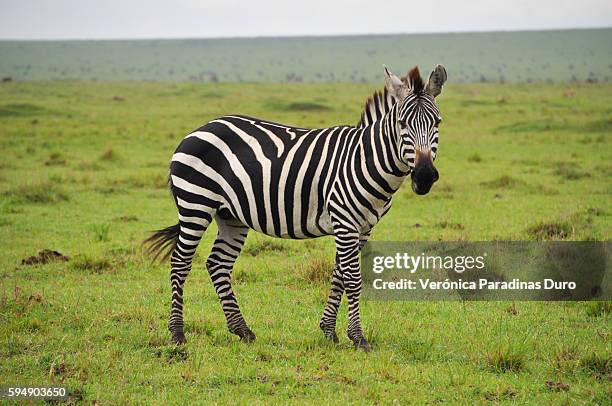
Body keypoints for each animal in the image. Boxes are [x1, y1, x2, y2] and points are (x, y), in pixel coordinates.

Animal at [146, 64, 448, 352]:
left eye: (437, 122)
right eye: (402, 124)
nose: (424, 176)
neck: (365, 159)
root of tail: (201, 128)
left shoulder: (363, 227)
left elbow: (339, 275)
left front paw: (329, 330)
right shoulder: (345, 222)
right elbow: (352, 278)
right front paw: (358, 337)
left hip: (230, 215)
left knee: (218, 263)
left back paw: (242, 330)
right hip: (195, 203)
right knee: (180, 262)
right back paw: (177, 333)